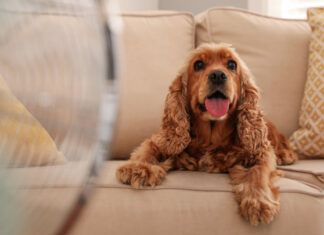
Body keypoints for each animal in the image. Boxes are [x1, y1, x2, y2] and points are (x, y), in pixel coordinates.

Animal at [115, 43, 298, 225]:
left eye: (232, 65)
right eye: (198, 65)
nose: (217, 75)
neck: (210, 138)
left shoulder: (261, 152)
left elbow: (259, 170)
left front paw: (258, 201)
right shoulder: (160, 140)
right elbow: (148, 149)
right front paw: (139, 168)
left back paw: (286, 155)